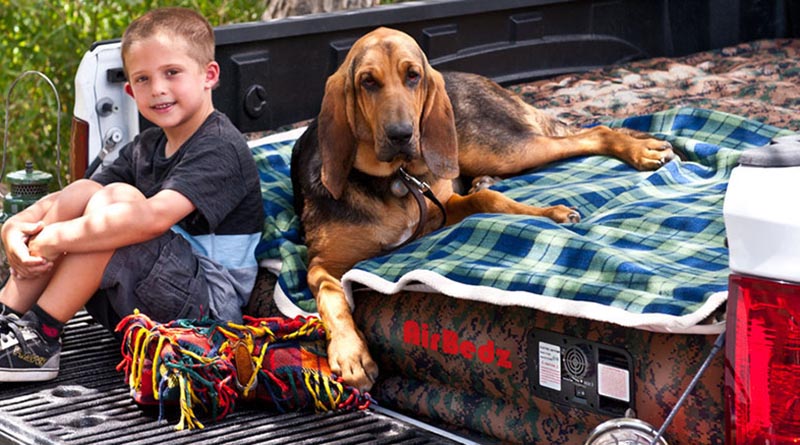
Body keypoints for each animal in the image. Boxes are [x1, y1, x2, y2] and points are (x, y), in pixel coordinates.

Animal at [290, 27, 672, 390]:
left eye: (413, 76)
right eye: (367, 81)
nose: (401, 134)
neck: (395, 180)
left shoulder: (443, 205)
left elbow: (491, 202)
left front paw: (552, 214)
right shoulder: (322, 265)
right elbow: (334, 299)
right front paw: (351, 354)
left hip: (501, 148)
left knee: (594, 132)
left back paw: (641, 150)